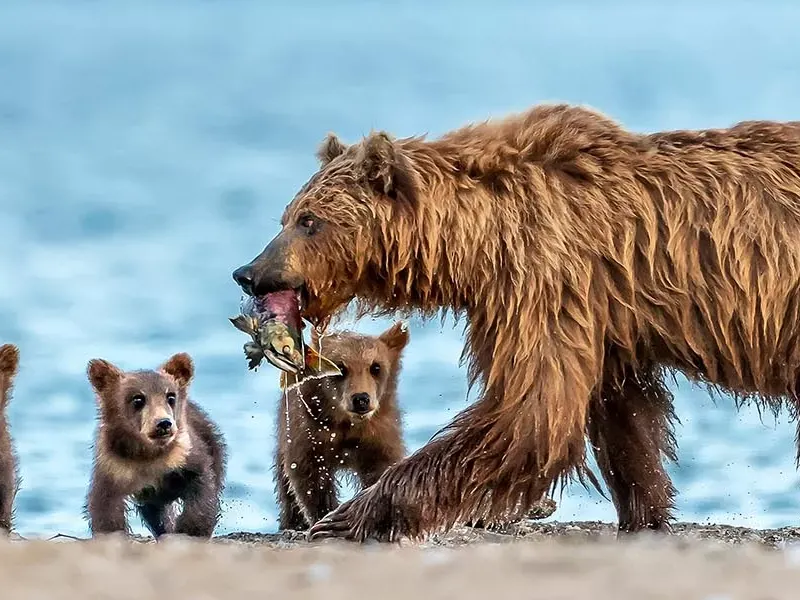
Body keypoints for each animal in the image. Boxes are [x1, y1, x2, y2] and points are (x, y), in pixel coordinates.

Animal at [85, 352, 227, 539]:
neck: (149, 455)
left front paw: (190, 529)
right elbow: (105, 506)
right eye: (138, 399)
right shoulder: (114, 466)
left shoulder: (185, 456)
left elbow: (202, 488)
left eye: (170, 396)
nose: (164, 423)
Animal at [274, 321, 409, 531]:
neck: (346, 422)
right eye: (340, 367)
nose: (361, 399)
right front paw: (324, 515)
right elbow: (309, 477)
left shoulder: (377, 434)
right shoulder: (309, 432)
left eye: (375, 367)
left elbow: (381, 467)